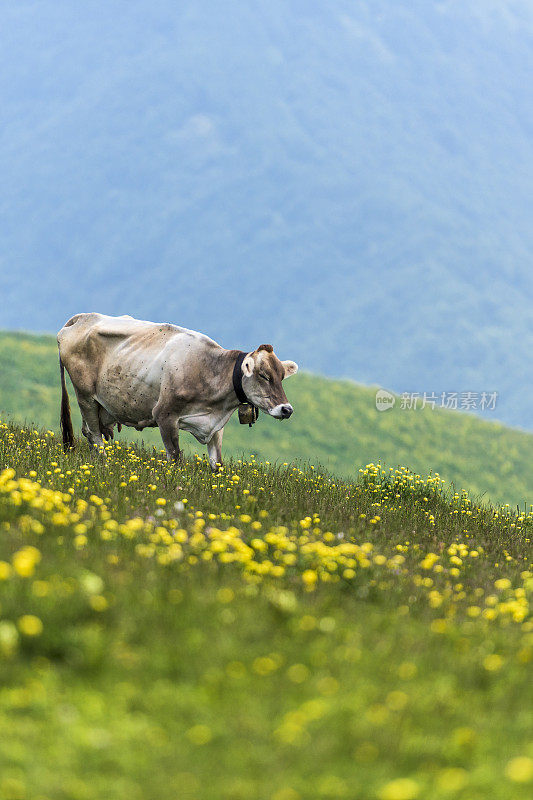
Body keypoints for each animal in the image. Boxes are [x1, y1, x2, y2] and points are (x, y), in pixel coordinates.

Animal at [58, 312, 300, 468]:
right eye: (264, 375)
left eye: (281, 377)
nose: (286, 409)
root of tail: (83, 317)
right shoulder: (164, 415)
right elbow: (175, 458)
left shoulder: (216, 427)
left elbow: (218, 465)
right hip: (85, 396)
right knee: (95, 436)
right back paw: (103, 463)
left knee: (88, 431)